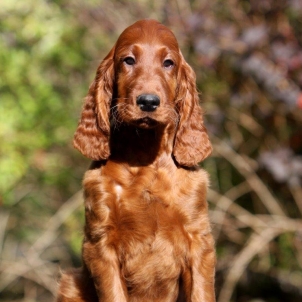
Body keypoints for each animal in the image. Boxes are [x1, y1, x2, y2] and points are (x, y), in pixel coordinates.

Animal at [56, 19, 216, 302]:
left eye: (168, 63)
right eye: (128, 60)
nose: (148, 102)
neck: (146, 158)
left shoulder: (198, 241)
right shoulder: (101, 244)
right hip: (71, 285)